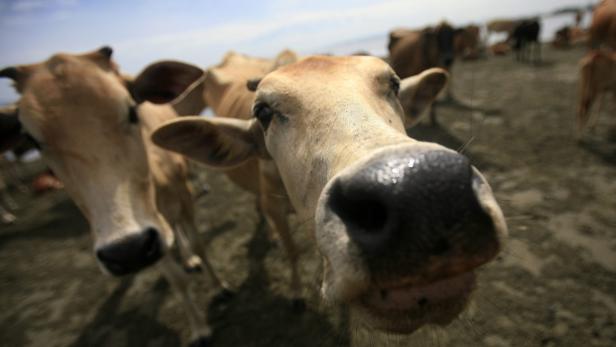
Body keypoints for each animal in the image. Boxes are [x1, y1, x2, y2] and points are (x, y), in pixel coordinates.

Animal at [0, 47, 230, 347]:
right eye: (32, 139)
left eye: (132, 110)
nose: (125, 250)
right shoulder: (150, 238)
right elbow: (176, 279)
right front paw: (199, 328)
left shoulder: (181, 202)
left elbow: (200, 244)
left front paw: (220, 287)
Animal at [152, 55, 508, 336]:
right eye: (264, 112)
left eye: (393, 84)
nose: (419, 192)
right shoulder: (275, 208)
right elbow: (292, 250)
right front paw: (296, 294)